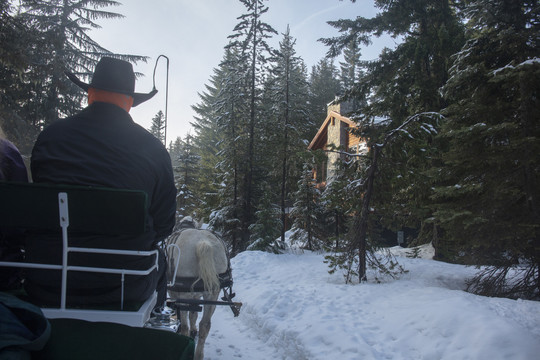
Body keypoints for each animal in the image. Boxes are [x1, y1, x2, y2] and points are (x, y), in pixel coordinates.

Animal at [167, 218, 230, 360]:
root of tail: (203, 243)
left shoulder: (177, 293)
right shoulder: (197, 295)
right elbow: (194, 315)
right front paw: (194, 330)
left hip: (184, 295)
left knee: (185, 326)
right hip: (212, 294)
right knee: (205, 325)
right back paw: (199, 354)